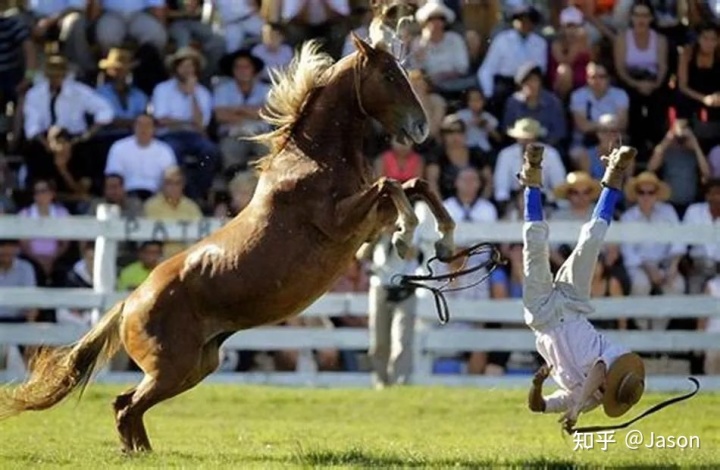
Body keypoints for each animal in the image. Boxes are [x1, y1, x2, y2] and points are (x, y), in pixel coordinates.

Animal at [0, 31, 456, 450]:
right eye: (388, 75)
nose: (421, 127)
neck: (312, 161)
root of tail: (129, 302)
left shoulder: (366, 224)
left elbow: (414, 185)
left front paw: (446, 243)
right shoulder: (341, 222)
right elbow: (391, 185)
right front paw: (408, 235)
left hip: (194, 367)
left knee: (125, 404)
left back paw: (141, 452)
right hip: (173, 367)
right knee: (127, 405)